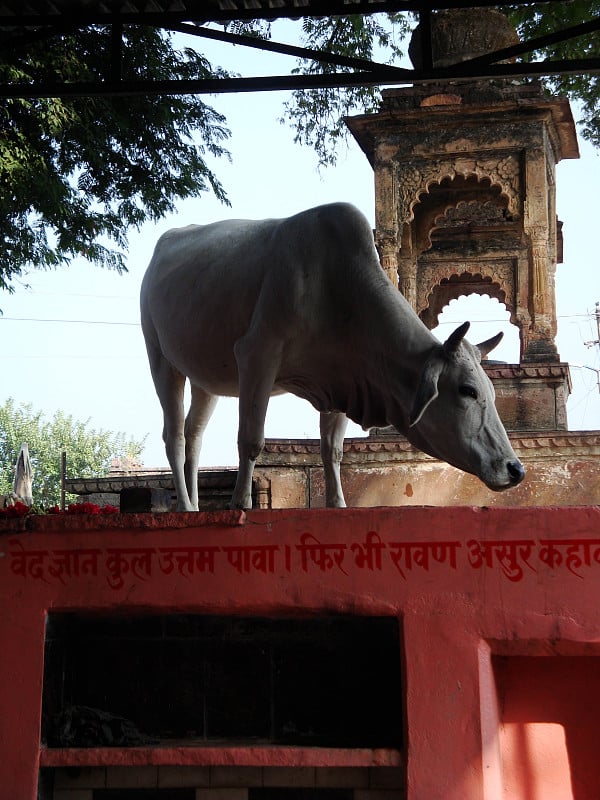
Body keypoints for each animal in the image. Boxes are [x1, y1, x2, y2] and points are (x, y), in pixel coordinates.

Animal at [141, 203, 524, 510]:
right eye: (467, 390)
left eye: (491, 392)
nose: (515, 468)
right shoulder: (257, 354)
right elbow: (251, 439)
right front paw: (239, 504)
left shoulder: (341, 379)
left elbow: (332, 450)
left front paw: (337, 503)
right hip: (160, 359)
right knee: (174, 436)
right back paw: (185, 507)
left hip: (206, 380)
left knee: (194, 435)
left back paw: (193, 505)